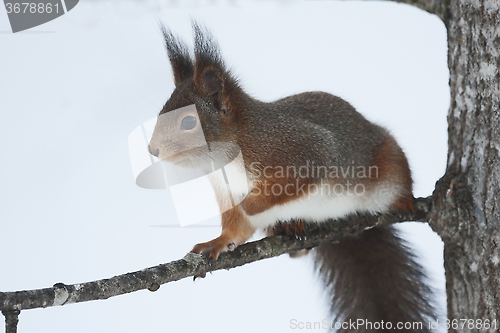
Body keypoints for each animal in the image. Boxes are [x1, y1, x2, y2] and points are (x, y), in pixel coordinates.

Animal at [148, 24, 434, 330]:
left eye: (189, 121)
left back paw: (403, 201)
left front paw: (253, 203)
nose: (152, 150)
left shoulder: (305, 150)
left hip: (388, 163)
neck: (227, 155)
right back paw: (289, 226)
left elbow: (292, 182)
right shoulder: (226, 191)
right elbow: (237, 228)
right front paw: (219, 242)